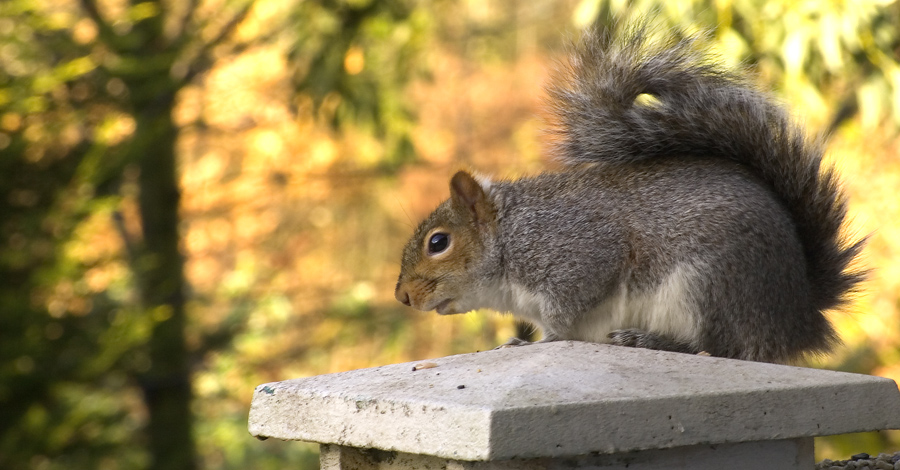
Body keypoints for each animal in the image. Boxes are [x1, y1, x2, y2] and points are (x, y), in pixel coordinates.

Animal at [392, 22, 864, 364]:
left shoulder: (578, 256)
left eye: (438, 242)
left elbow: (566, 316)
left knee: (721, 346)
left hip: (710, 284)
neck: (510, 237)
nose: (403, 296)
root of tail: (800, 315)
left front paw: (536, 343)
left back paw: (650, 341)